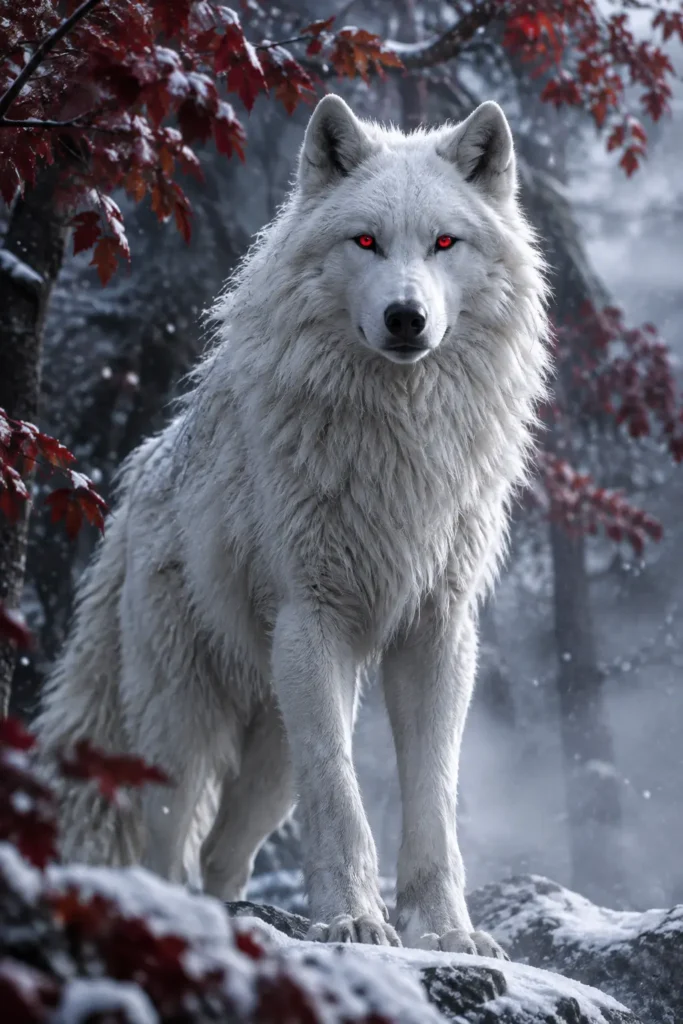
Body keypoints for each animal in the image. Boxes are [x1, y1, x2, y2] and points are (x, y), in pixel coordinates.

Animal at [36, 94, 550, 953]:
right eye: (365, 241)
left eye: (444, 242)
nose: (405, 318)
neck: (396, 439)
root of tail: (137, 482)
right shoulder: (313, 622)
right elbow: (340, 796)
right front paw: (352, 920)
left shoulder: (438, 633)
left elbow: (434, 802)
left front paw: (446, 932)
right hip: (188, 727)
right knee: (164, 847)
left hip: (270, 756)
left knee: (222, 854)